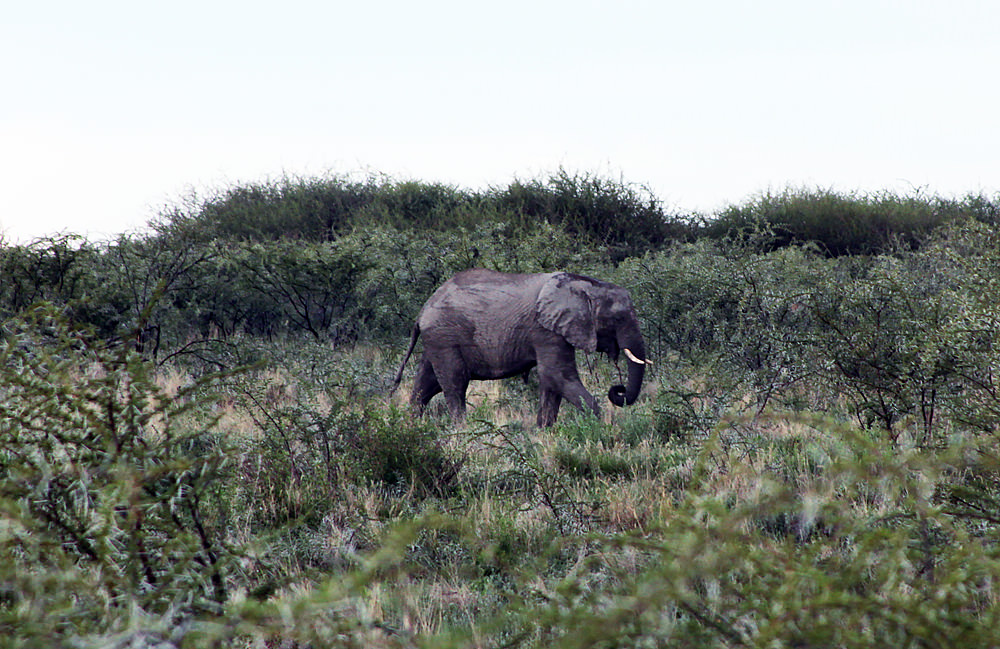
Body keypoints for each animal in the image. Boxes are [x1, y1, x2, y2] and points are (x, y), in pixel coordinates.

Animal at [392, 268, 651, 427]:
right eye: (618, 318)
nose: (617, 390)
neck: (584, 285)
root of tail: (422, 311)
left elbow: (551, 381)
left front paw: (544, 432)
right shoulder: (545, 329)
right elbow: (557, 375)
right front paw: (605, 427)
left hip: (436, 340)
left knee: (426, 383)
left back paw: (411, 427)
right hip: (444, 338)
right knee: (455, 383)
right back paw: (462, 431)